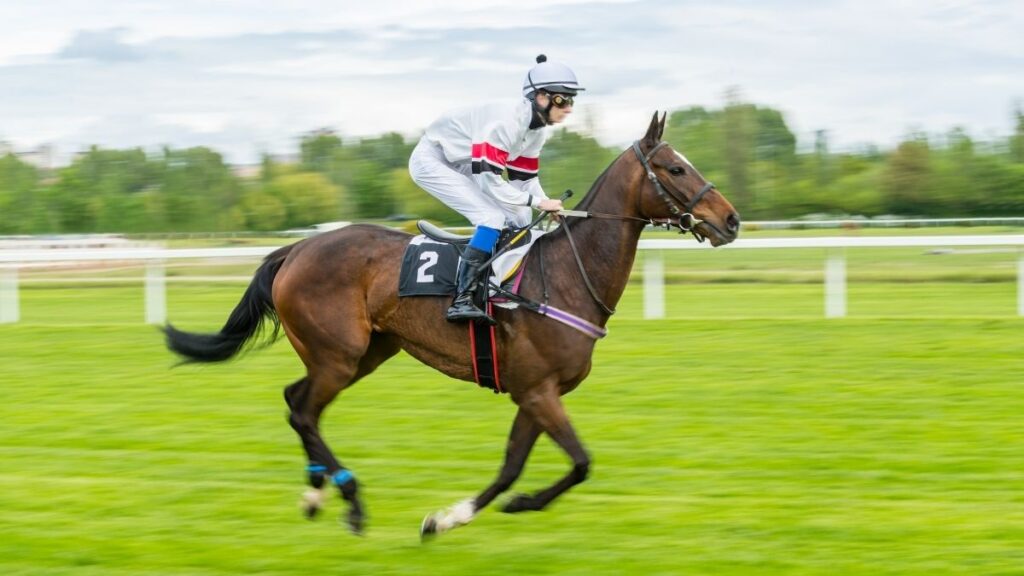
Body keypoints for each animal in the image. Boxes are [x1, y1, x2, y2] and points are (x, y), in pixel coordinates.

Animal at [164, 112, 740, 538]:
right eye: (675, 169)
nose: (731, 220)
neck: (564, 276)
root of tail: (296, 249)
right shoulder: (538, 390)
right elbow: (580, 462)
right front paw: (509, 506)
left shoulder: (535, 390)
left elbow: (514, 466)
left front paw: (448, 518)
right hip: (338, 355)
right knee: (304, 411)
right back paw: (351, 498)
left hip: (364, 353)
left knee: (294, 401)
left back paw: (314, 491)